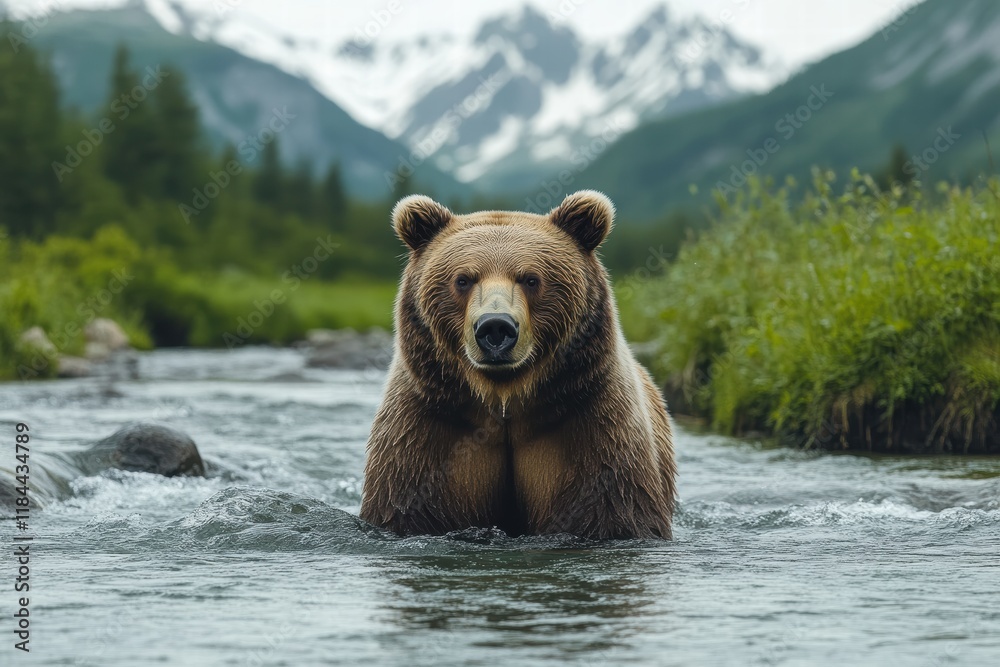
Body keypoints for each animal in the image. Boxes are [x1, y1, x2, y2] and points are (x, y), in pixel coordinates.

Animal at [359, 190, 676, 539]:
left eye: (531, 279)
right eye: (463, 279)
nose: (496, 327)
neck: (505, 399)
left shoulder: (592, 422)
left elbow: (609, 508)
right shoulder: (427, 429)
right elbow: (412, 506)